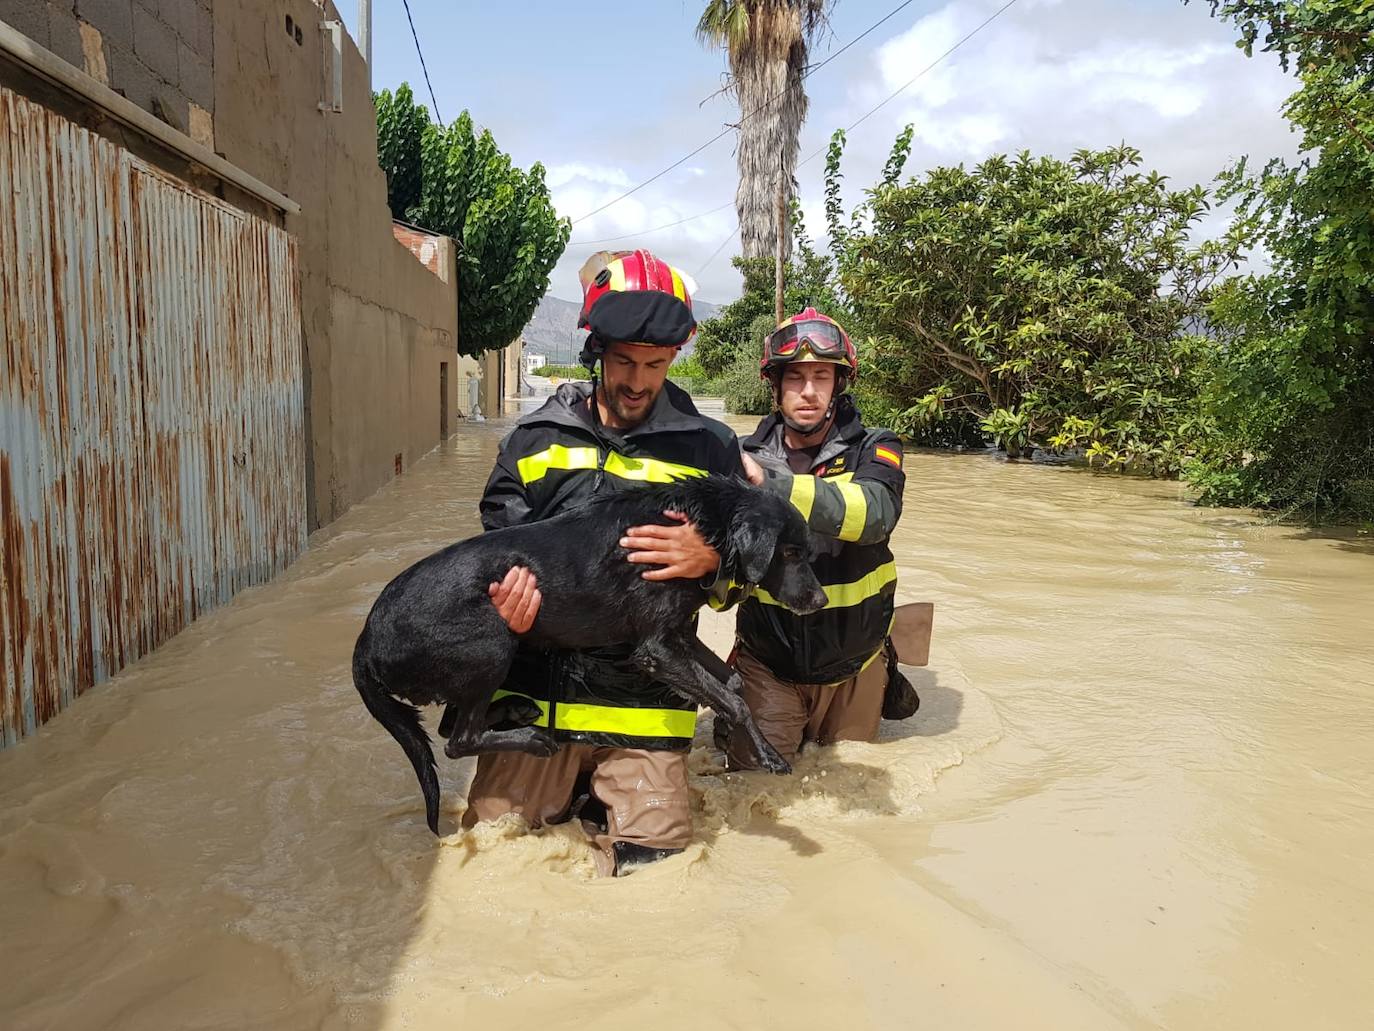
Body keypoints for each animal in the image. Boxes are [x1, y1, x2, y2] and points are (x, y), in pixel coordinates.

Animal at [354, 475, 824, 830]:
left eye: (805, 552)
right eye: (789, 553)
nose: (820, 600)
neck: (705, 523)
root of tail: (365, 639)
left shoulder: (679, 637)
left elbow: (734, 684)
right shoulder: (657, 649)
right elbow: (735, 701)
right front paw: (770, 756)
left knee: (451, 724)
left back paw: (517, 709)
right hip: (491, 644)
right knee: (458, 740)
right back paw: (532, 736)